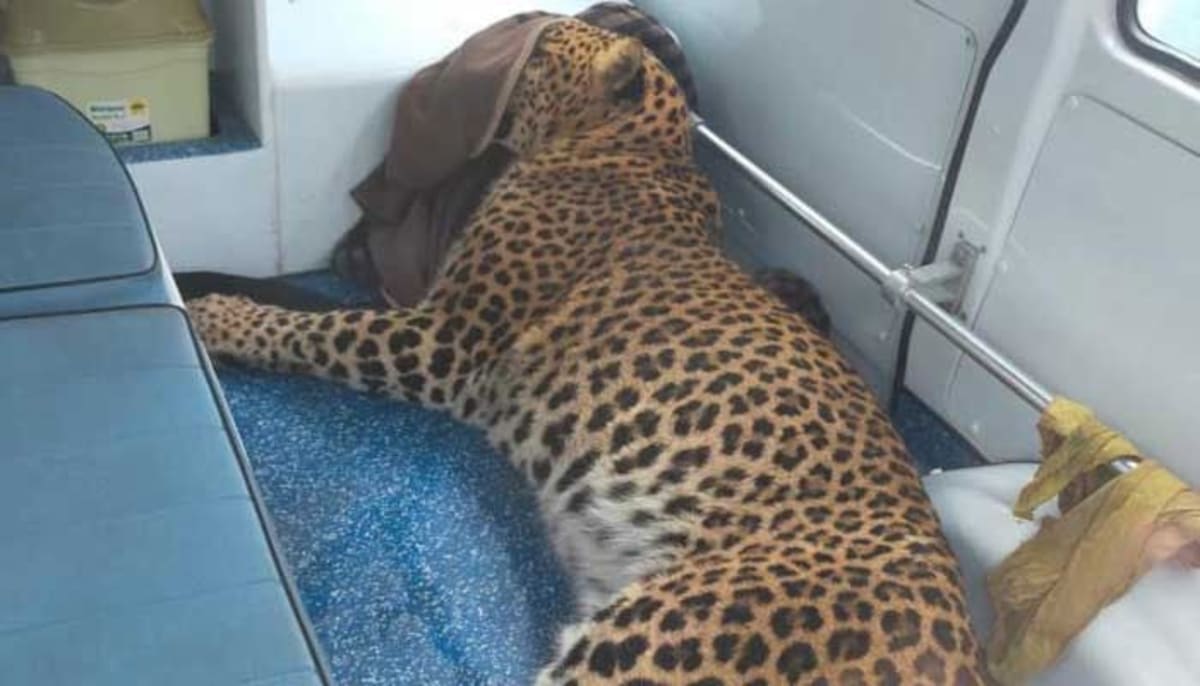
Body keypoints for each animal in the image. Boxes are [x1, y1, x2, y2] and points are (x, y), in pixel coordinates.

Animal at [186, 18, 988, 686]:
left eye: (543, 49)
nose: (465, 64)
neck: (630, 140)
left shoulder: (441, 340)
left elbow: (315, 330)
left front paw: (219, 317)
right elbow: (312, 307)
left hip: (644, 644)